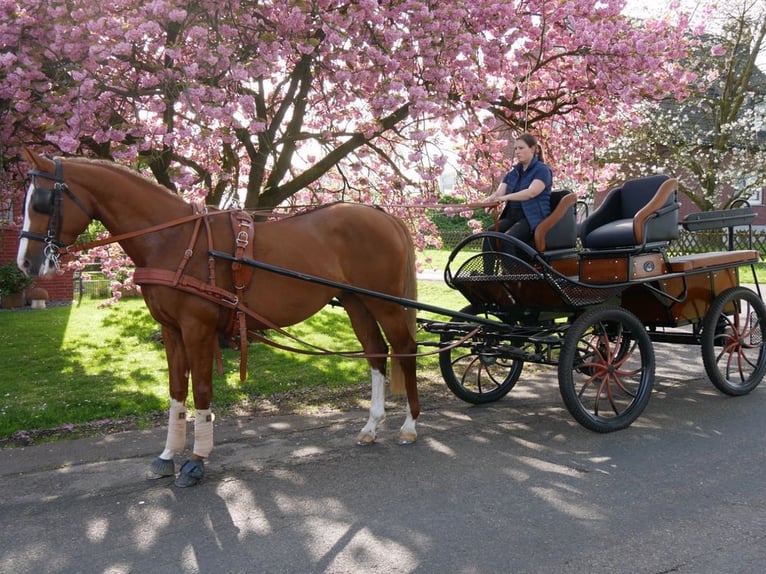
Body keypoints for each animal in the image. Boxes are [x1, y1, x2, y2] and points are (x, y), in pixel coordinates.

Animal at [18, 148, 424, 486]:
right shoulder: (171, 330)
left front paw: (196, 460)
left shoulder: (197, 328)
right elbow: (176, 391)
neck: (175, 239)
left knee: (405, 349)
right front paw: (167, 455)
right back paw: (371, 426)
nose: (25, 263)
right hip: (357, 302)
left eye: (41, 202)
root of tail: (383, 215)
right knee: (375, 353)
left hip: (385, 304)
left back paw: (409, 424)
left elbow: (201, 390)